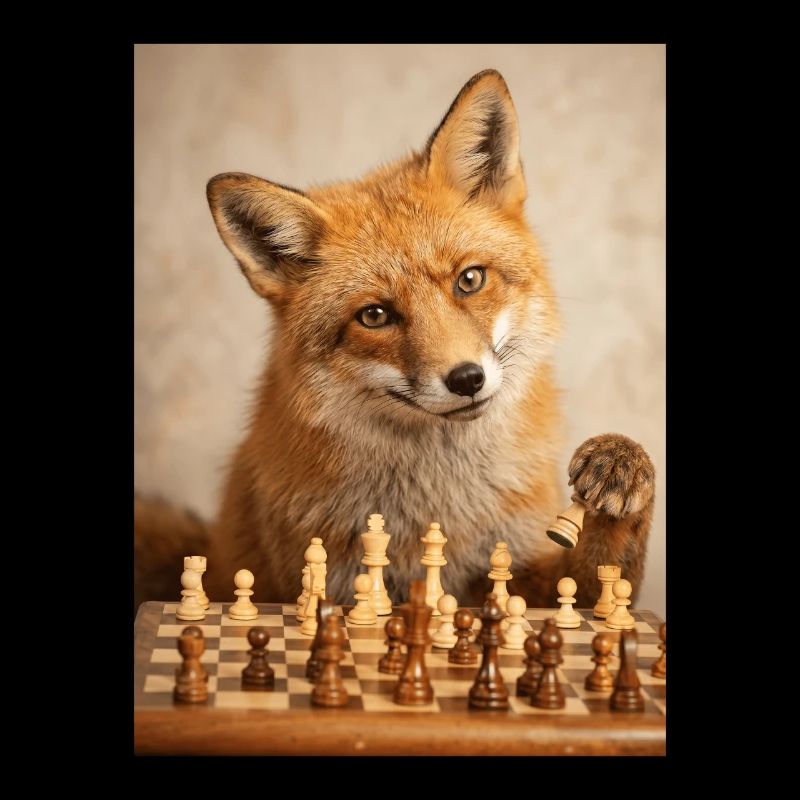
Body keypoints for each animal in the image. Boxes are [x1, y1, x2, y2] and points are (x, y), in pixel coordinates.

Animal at [134, 69, 655, 610]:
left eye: (469, 280)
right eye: (375, 315)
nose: (466, 379)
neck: (437, 506)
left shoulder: (519, 573)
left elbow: (602, 581)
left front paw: (620, 466)